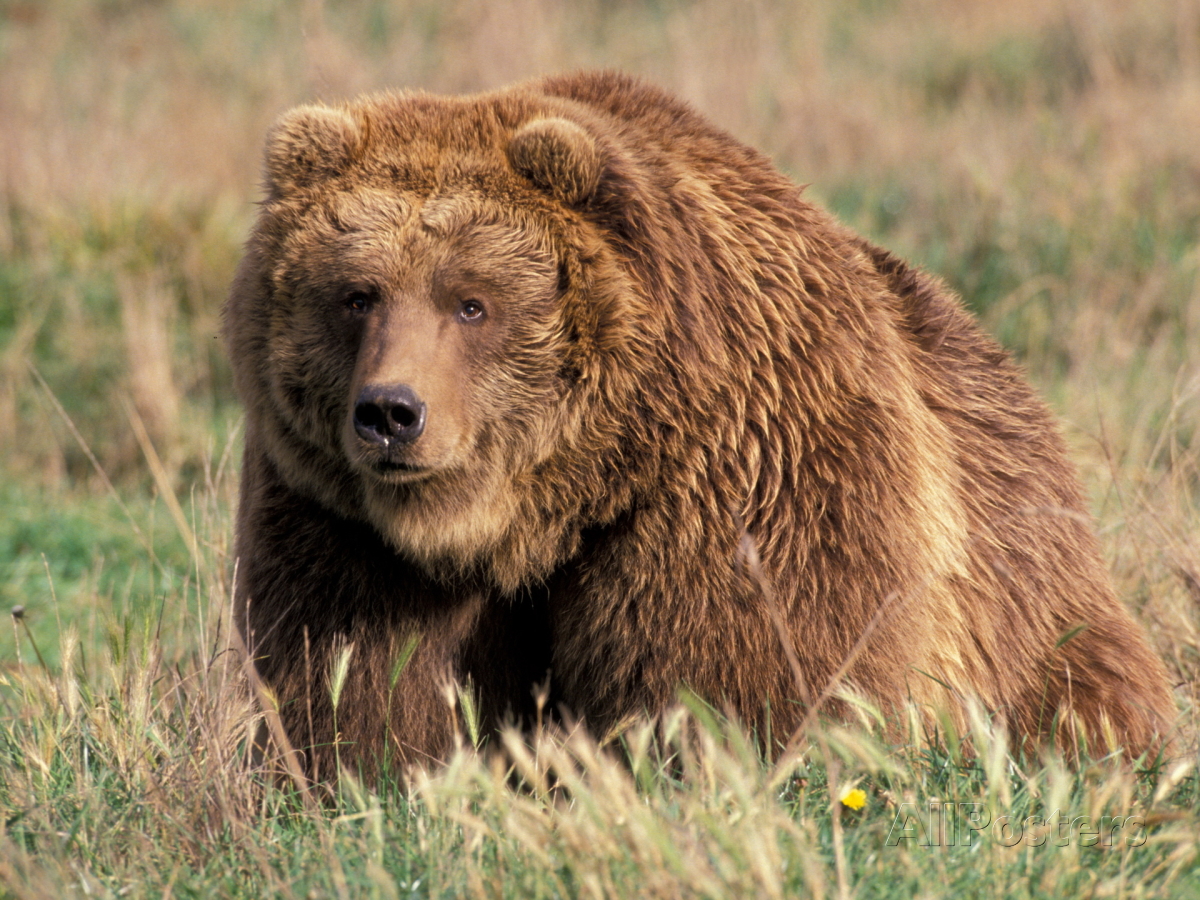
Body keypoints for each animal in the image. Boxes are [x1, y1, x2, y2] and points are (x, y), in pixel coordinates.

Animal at [224, 70, 1176, 779]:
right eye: (357, 294)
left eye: (471, 301)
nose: (391, 413)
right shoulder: (340, 525)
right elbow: (369, 685)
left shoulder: (741, 477)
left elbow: (749, 675)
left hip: (1029, 595)